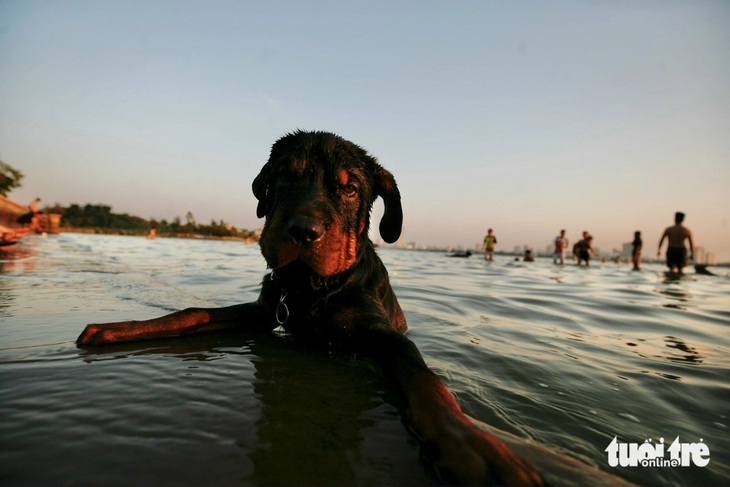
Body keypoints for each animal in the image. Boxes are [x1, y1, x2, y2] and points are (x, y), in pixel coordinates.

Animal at [79, 131, 544, 487]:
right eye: (285, 175)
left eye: (351, 188)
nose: (303, 230)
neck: (311, 288)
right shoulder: (265, 309)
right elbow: (194, 312)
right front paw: (119, 328)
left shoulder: (380, 332)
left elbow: (425, 379)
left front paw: (473, 447)